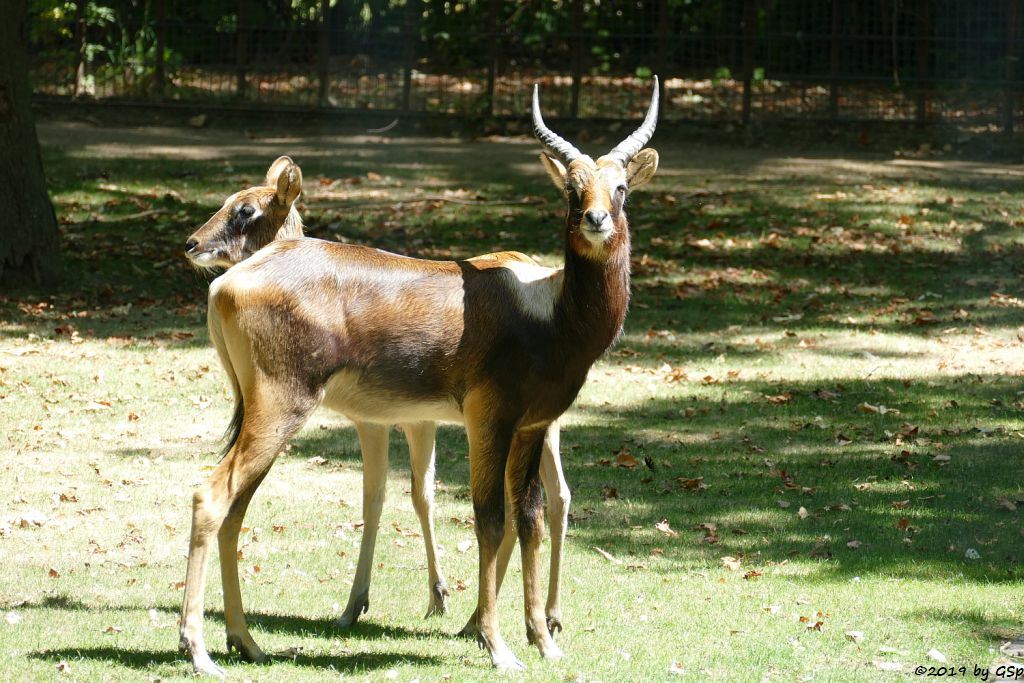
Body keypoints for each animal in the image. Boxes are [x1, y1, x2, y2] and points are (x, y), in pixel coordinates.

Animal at [186, 157, 577, 638]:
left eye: (246, 209)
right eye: (228, 199)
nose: (192, 243)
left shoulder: (414, 420)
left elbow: (419, 495)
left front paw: (437, 596)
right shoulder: (377, 421)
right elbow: (381, 498)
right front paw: (361, 604)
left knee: (548, 497)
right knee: (555, 495)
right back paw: (538, 616)